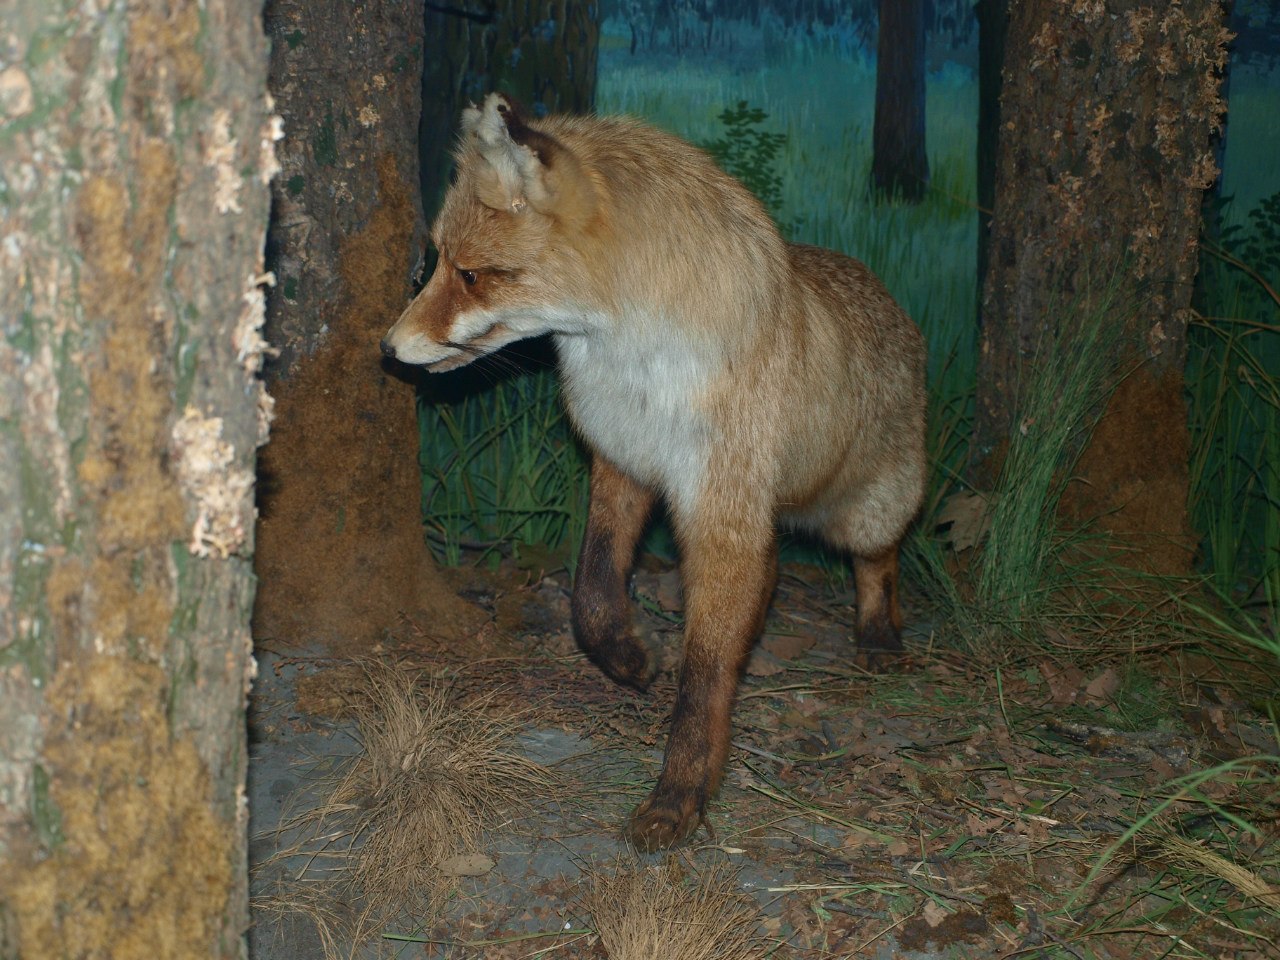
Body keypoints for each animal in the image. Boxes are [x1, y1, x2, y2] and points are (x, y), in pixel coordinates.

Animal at [378, 94, 931, 855]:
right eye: (437, 262)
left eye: (471, 275)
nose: (388, 348)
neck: (636, 363)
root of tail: (886, 292)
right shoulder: (624, 462)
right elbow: (591, 593)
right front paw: (627, 659)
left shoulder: (723, 511)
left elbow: (704, 679)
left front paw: (680, 796)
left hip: (869, 507)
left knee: (880, 560)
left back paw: (879, 635)